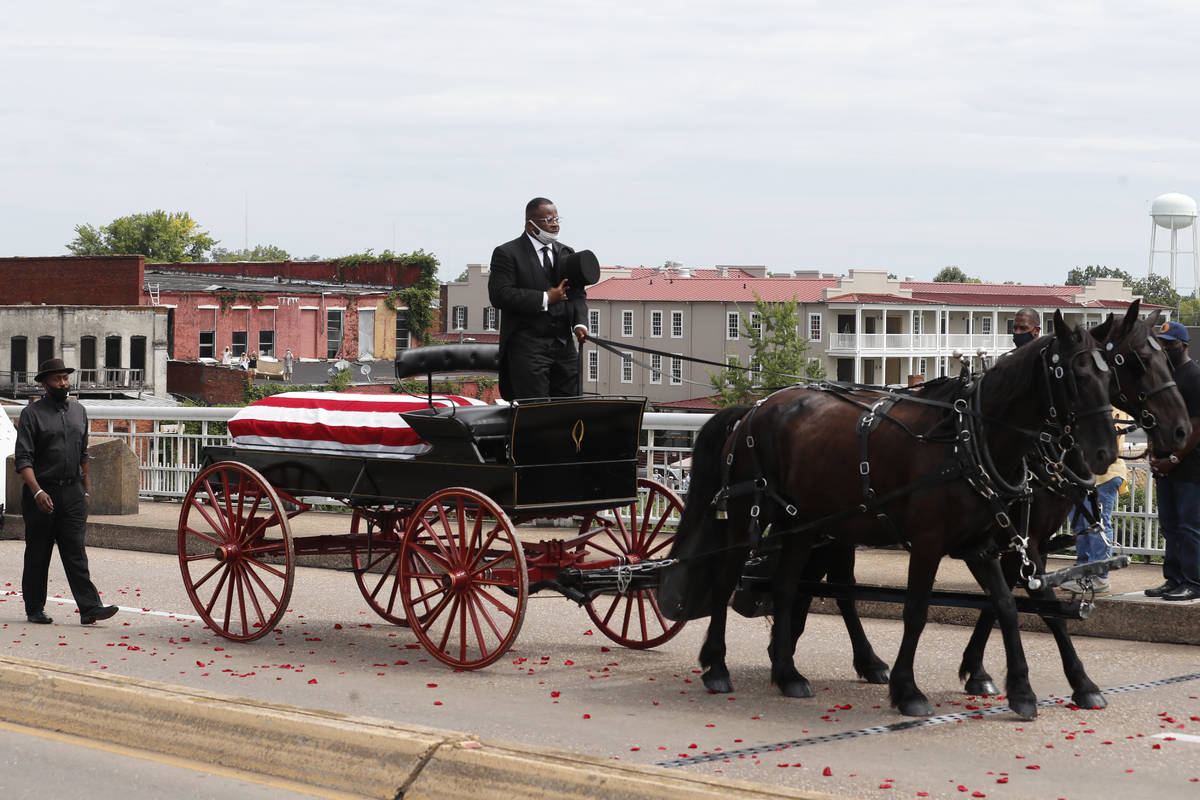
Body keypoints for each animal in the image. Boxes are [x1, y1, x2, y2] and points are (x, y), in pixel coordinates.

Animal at [662, 311, 1118, 719]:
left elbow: (1008, 605)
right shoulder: (934, 543)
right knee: (727, 580)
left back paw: (788, 673)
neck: (968, 438)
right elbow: (916, 611)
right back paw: (718, 666)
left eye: (1109, 377)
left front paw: (1026, 689)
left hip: (803, 524)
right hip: (749, 515)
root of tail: (754, 408)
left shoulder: (984, 545)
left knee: (789, 585)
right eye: (1075, 376)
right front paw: (908, 690)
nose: (1104, 454)